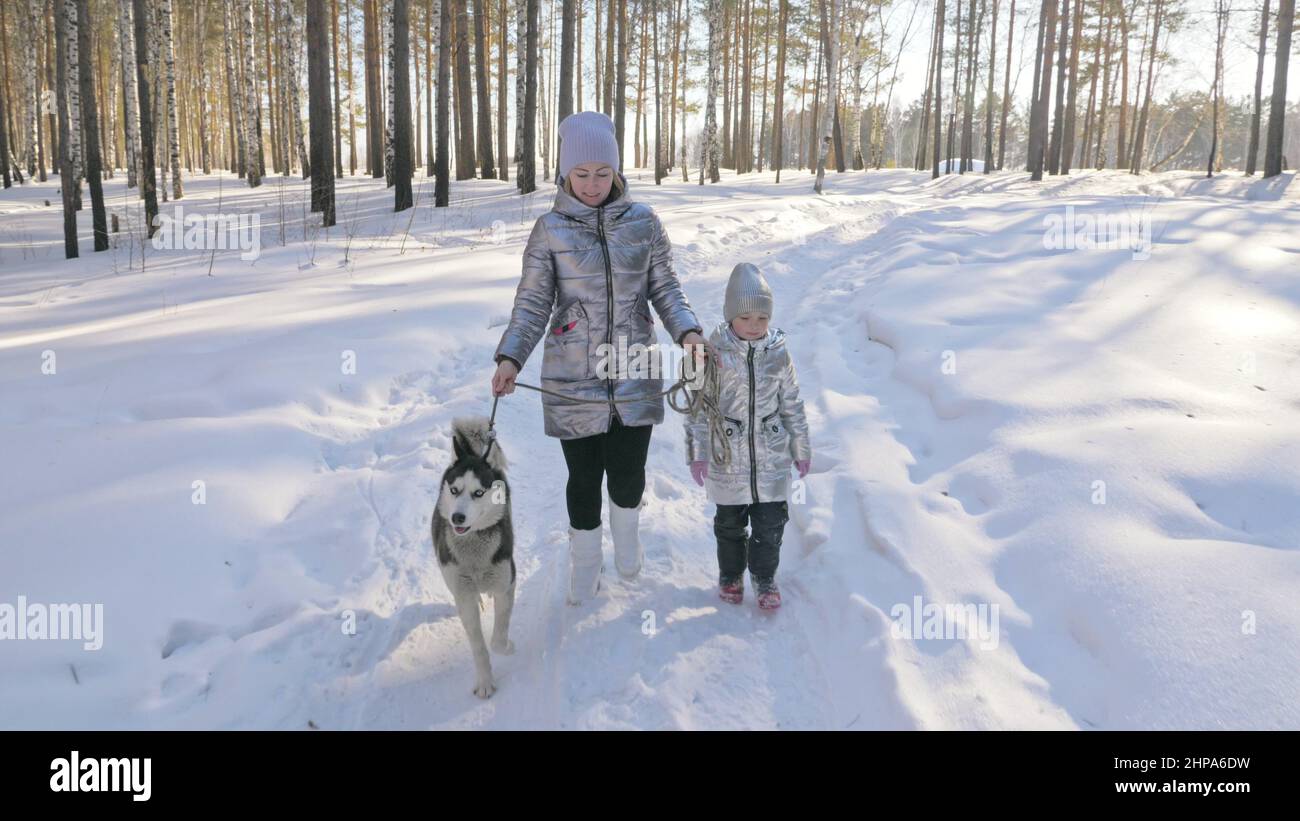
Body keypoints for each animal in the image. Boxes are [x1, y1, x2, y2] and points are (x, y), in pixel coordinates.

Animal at [436, 420, 517, 696]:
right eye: (454, 490)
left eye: (479, 493)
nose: (457, 518)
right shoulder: (464, 596)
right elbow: (479, 646)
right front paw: (484, 682)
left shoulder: (506, 584)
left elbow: (498, 639)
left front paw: (506, 647)